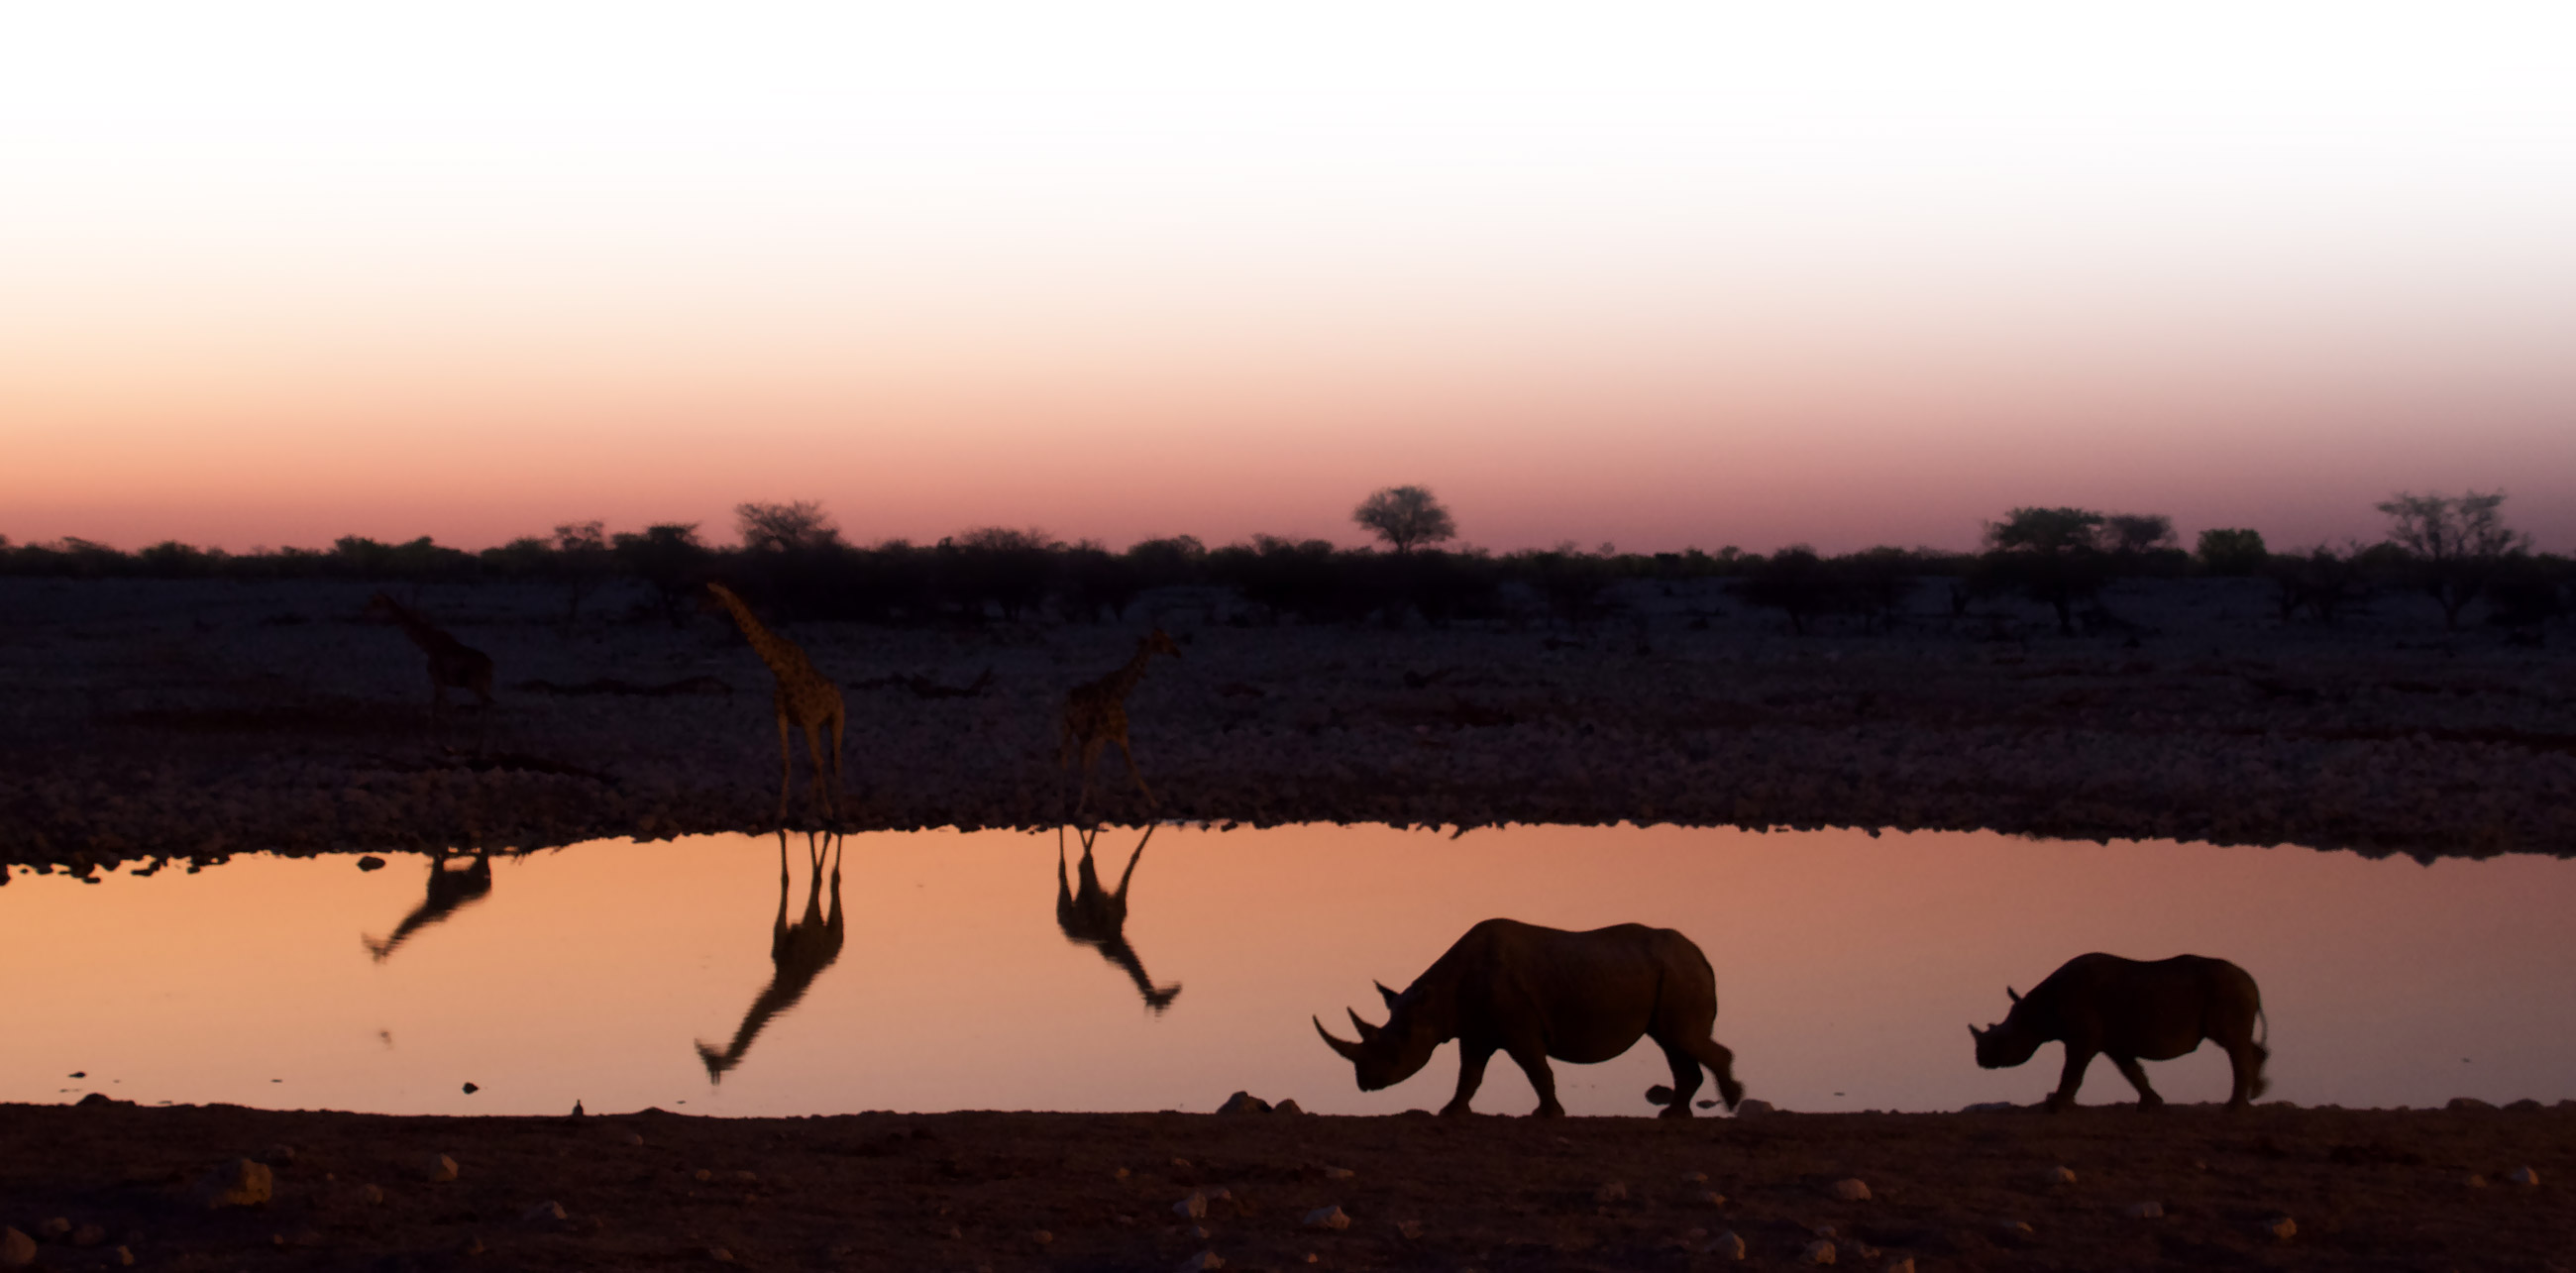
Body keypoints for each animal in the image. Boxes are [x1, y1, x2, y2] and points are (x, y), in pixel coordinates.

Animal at [363, 592, 491, 710]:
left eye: (375, 601)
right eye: (371, 599)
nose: (365, 610)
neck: (427, 645)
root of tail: (490, 665)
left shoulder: (437, 679)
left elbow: (444, 707)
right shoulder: (438, 683)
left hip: (476, 685)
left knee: (487, 705)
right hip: (482, 686)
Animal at [696, 824, 844, 1082]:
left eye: (711, 1063)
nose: (702, 1048)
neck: (779, 986)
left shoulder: (806, 927)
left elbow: (808, 881)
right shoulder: (784, 939)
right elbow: (786, 848)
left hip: (834, 927)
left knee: (833, 879)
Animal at [705, 582, 844, 819]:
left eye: (714, 597)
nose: (702, 610)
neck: (780, 670)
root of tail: (838, 694)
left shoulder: (807, 720)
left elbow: (817, 762)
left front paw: (827, 811)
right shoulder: (783, 716)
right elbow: (786, 762)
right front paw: (782, 811)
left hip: (837, 719)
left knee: (834, 760)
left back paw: (838, 806)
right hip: (818, 725)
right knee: (822, 759)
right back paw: (811, 806)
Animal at [1050, 824, 1179, 1014]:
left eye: (1166, 1002)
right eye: (1162, 1004)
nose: (1175, 990)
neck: (1118, 943)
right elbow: (1126, 860)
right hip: (1066, 904)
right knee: (1062, 870)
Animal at [1056, 626, 1185, 813]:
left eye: (1169, 637)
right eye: (1159, 641)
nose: (1177, 652)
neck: (1119, 693)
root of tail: (1068, 697)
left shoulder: (1118, 737)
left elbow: (1132, 769)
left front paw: (1154, 802)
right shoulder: (1108, 736)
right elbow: (1116, 769)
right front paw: (1079, 809)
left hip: (1085, 736)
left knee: (1085, 763)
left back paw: (1094, 802)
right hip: (1068, 729)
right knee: (1066, 761)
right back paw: (1063, 803)